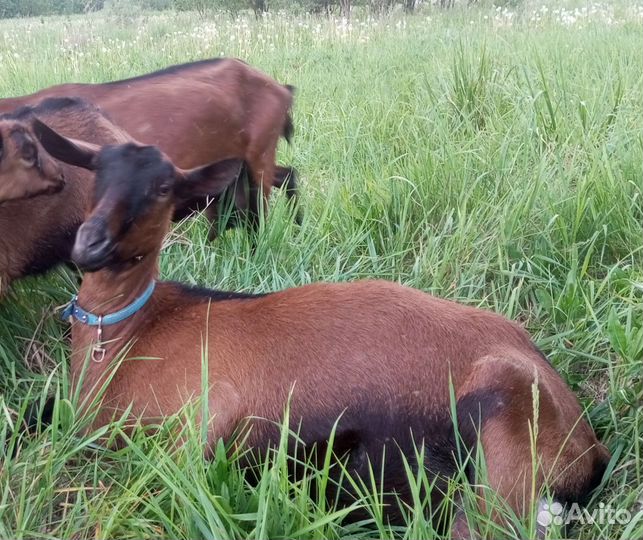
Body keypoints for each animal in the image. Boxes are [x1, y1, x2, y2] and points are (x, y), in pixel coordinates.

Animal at [33, 121, 609, 535]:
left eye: (162, 188)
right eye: (96, 172)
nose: (90, 244)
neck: (133, 336)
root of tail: (589, 448)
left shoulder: (206, 417)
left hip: (502, 433)